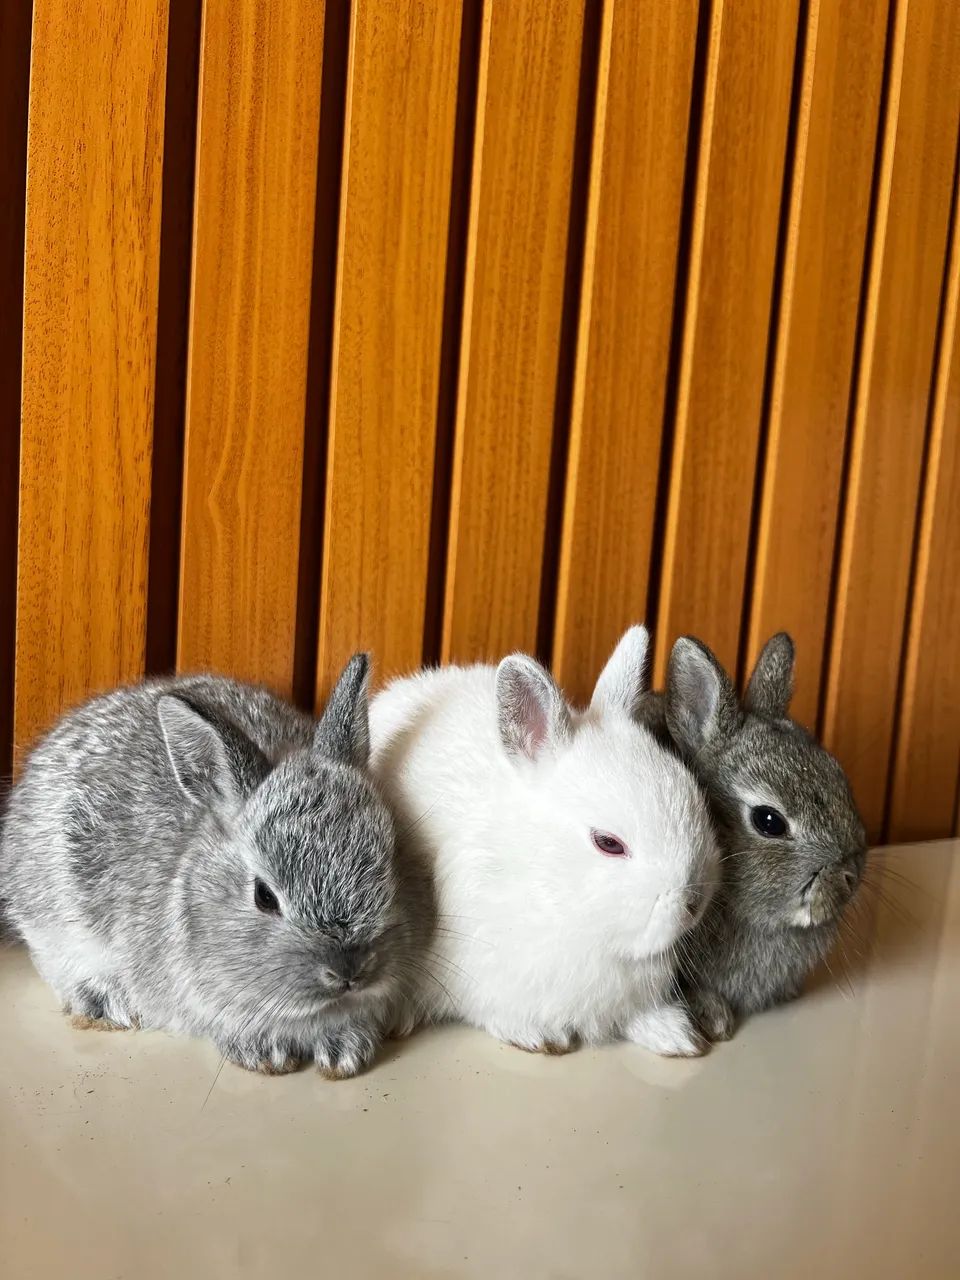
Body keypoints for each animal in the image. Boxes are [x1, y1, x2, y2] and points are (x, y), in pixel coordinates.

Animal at [0, 654, 410, 1079]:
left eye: (389, 858)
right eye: (264, 896)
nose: (350, 971)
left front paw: (346, 1051)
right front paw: (268, 1053)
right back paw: (107, 1001)